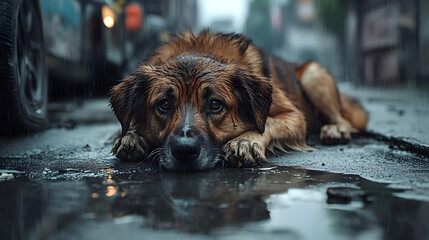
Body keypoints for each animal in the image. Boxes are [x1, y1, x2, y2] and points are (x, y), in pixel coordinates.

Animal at [108, 30, 366, 171]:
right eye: (164, 104)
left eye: (215, 104)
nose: (184, 150)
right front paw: (132, 137)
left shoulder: (294, 116)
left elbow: (267, 123)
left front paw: (245, 141)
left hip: (313, 74)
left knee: (342, 119)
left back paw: (335, 130)